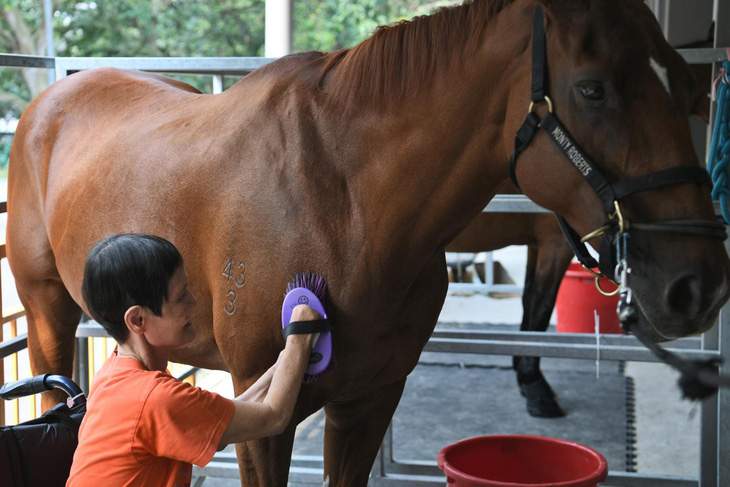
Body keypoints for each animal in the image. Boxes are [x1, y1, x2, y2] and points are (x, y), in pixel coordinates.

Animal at [7, 1, 728, 486]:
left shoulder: (370, 400)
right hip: (46, 313)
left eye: (687, 86)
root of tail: (49, 99)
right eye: (592, 87)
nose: (697, 282)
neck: (343, 204)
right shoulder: (259, 414)